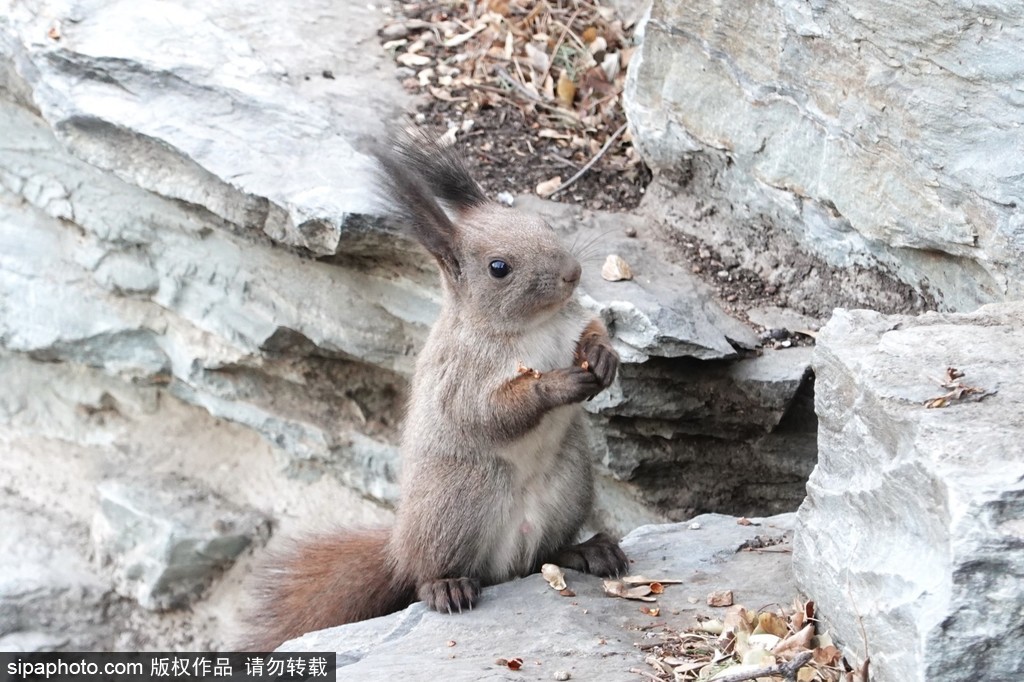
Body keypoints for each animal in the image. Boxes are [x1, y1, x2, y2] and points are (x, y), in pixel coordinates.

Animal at [241, 131, 622, 647]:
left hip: (570, 486)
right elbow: (487, 412)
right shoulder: (458, 375)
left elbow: (593, 330)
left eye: (542, 223)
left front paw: (604, 357)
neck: (533, 328)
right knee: (429, 576)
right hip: (459, 500)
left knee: (547, 554)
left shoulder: (571, 324)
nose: (572, 273)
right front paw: (556, 385)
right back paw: (446, 586)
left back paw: (586, 552)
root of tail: (399, 549)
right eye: (498, 267)